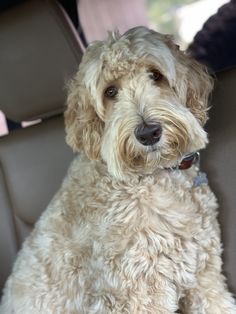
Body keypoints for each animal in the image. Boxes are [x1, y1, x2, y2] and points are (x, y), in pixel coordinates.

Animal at [0, 27, 236, 314]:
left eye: (155, 75)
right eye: (110, 91)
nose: (148, 133)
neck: (154, 175)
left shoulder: (205, 275)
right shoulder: (138, 291)